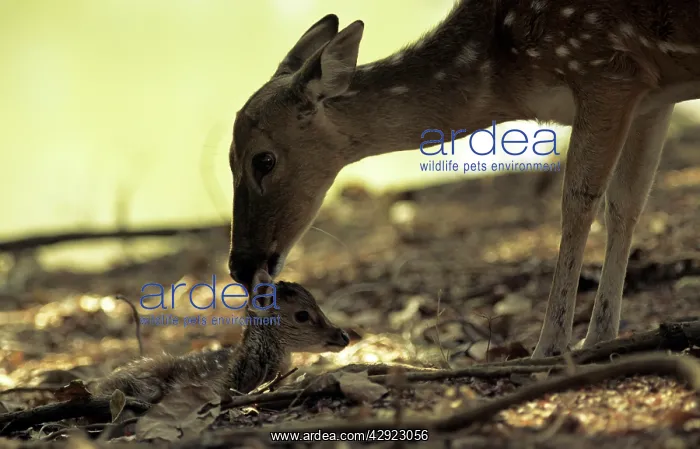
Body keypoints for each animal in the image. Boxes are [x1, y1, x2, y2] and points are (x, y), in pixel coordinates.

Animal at [227, 0, 700, 359]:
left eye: (263, 160)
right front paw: (600, 338)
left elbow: (579, 202)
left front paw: (549, 347)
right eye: (227, 158)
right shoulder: (650, 96)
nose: (239, 265)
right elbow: (625, 205)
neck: (505, 70)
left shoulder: (604, 68)